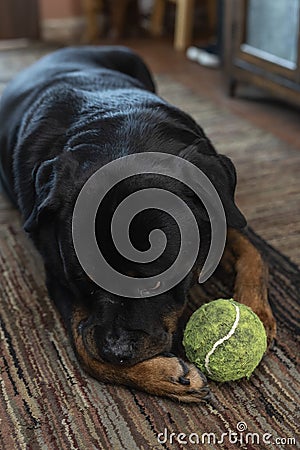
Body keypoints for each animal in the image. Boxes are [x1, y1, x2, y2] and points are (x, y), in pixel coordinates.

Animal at [0, 47, 276, 402]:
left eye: (156, 283)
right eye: (81, 281)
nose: (117, 352)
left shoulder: (219, 209)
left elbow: (253, 251)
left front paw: (256, 309)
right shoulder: (56, 271)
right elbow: (83, 345)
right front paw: (165, 376)